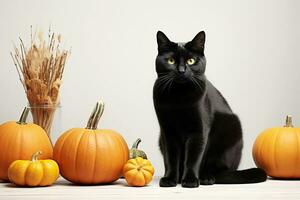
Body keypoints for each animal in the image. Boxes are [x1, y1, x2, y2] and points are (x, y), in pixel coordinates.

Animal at [154, 30, 266, 188]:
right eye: (170, 61)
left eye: (191, 61)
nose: (181, 71)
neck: (179, 98)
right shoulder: (167, 132)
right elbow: (171, 158)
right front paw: (169, 179)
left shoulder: (199, 131)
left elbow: (193, 158)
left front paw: (190, 180)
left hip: (231, 128)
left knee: (218, 170)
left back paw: (206, 178)